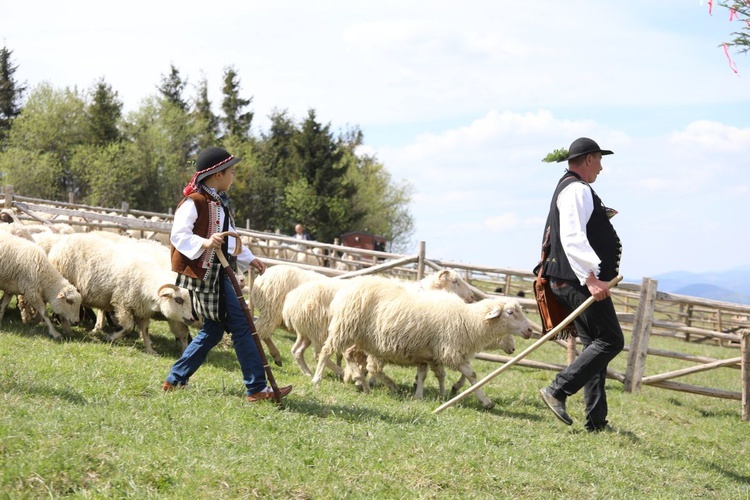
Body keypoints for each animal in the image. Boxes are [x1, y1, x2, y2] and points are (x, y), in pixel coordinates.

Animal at [45, 231, 195, 354]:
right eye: (178, 300)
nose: (192, 319)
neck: (146, 281)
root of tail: (63, 240)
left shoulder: (142, 311)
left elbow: (145, 331)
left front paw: (149, 349)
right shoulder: (122, 303)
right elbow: (128, 327)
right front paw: (110, 337)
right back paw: (68, 328)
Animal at [312, 278, 536, 410]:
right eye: (510, 312)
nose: (529, 330)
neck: (468, 320)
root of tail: (345, 289)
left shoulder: (427, 353)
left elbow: (423, 374)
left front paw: (420, 395)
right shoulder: (449, 351)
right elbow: (472, 375)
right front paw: (485, 401)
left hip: (360, 338)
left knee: (355, 359)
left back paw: (364, 382)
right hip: (346, 327)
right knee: (326, 352)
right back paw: (318, 379)